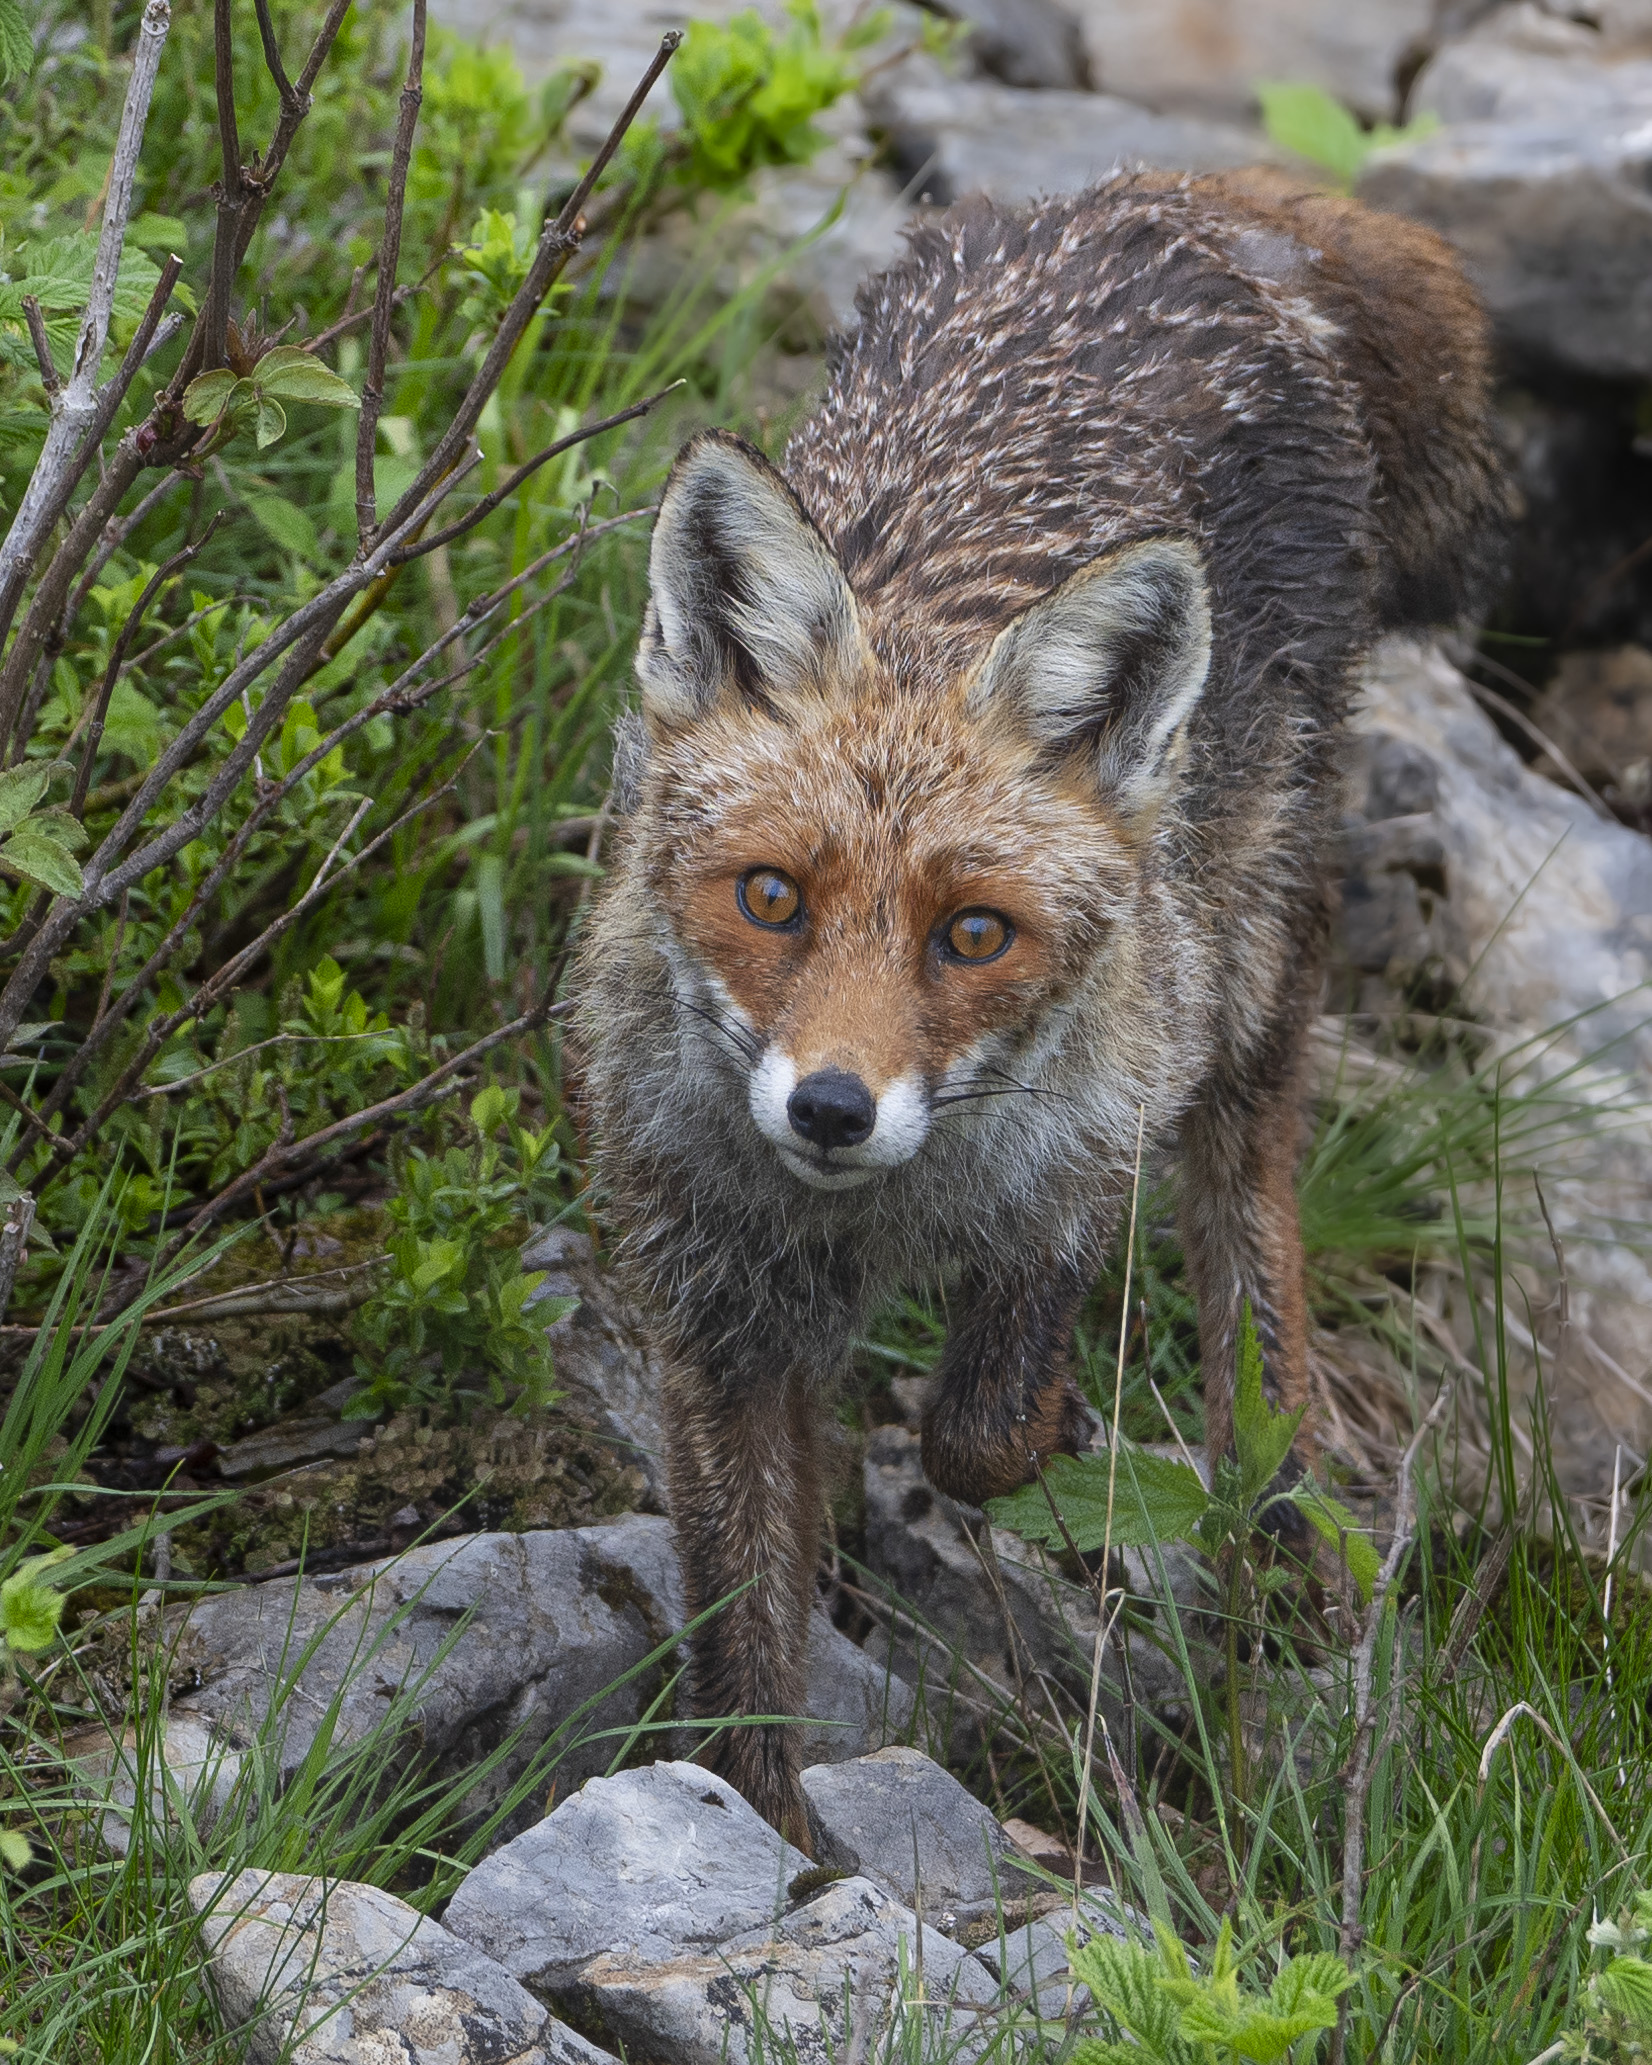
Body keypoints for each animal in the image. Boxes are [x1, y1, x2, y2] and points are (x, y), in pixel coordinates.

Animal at [572, 166, 1512, 1848]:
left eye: (974, 934)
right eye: (770, 899)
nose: (831, 1106)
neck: (866, 1219)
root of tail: (1160, 208)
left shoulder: (1086, 1147)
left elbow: (980, 1424)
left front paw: (1044, 1424)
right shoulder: (712, 1310)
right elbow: (744, 1625)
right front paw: (778, 1841)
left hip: (1252, 959)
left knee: (1253, 1206)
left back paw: (1281, 1511)